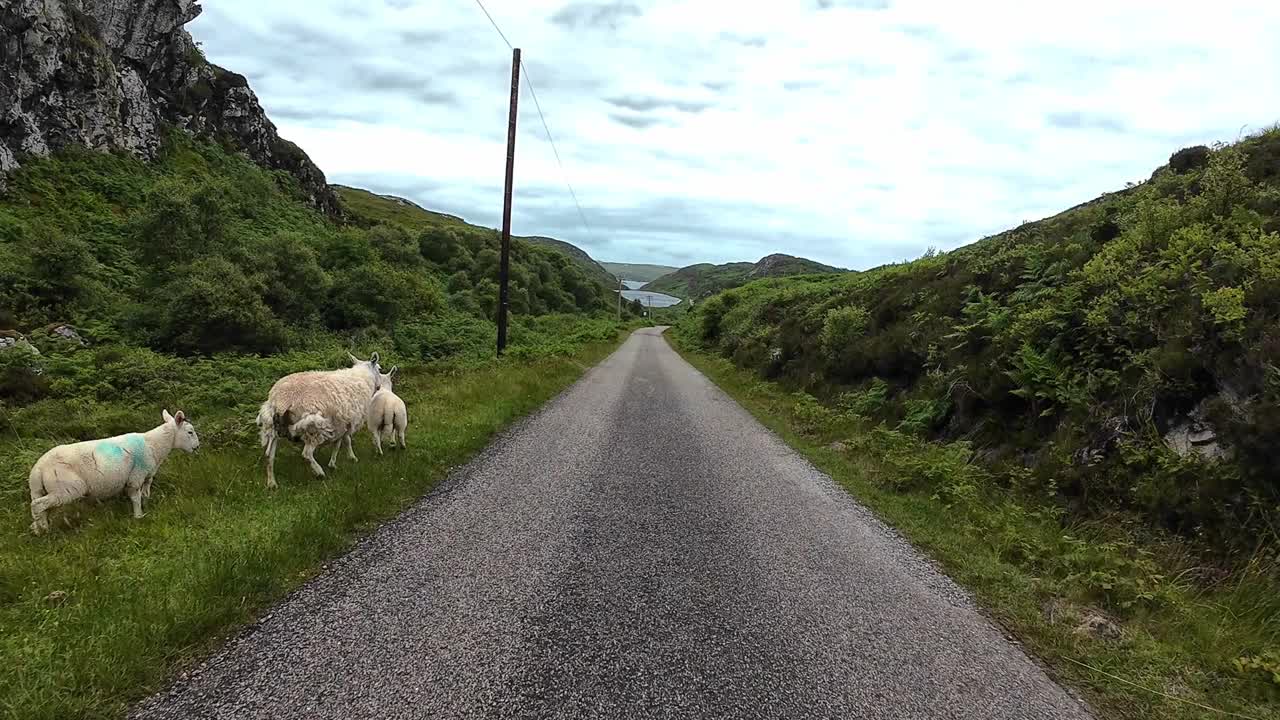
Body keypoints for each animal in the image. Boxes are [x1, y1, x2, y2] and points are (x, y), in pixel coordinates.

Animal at [27, 409, 199, 532]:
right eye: (190, 432)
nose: (197, 447)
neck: (154, 445)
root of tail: (38, 469)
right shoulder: (135, 477)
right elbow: (136, 498)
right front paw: (138, 516)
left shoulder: (147, 476)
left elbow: (146, 493)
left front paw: (147, 506)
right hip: (67, 488)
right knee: (37, 505)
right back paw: (45, 530)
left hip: (45, 489)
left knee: (41, 508)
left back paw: (37, 528)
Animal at [257, 348, 381, 484]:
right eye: (380, 369)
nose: (379, 387)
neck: (362, 377)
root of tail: (280, 400)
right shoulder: (346, 423)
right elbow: (344, 442)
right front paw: (349, 459)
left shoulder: (341, 423)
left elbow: (340, 443)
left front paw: (335, 463)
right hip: (314, 427)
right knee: (306, 453)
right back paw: (319, 472)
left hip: (272, 426)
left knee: (269, 455)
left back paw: (272, 483)